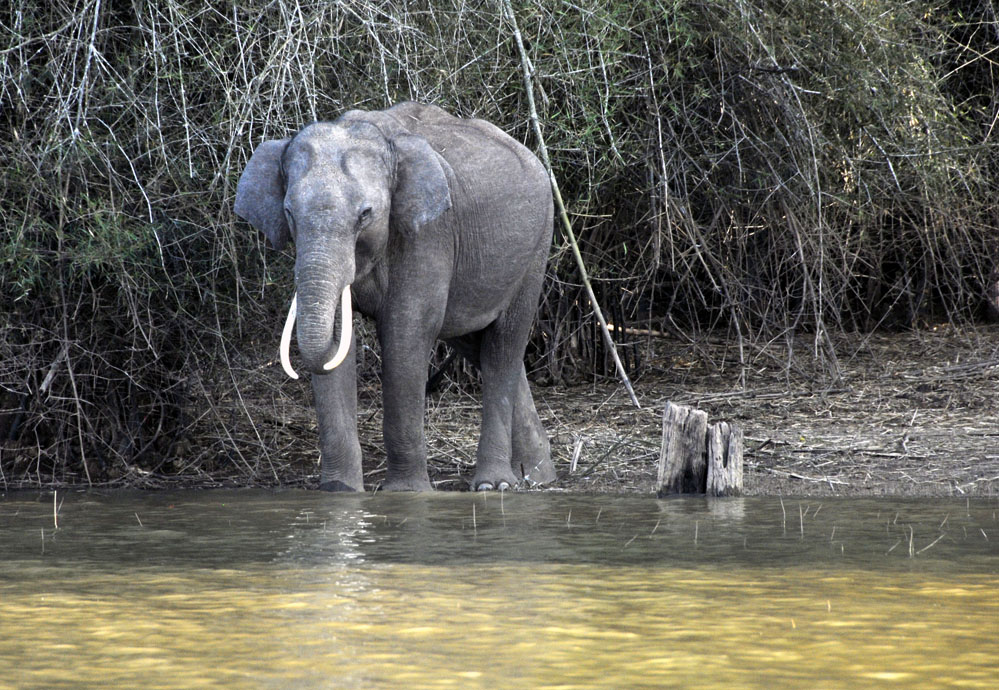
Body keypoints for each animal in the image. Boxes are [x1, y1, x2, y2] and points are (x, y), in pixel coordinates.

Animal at [237, 101, 560, 490]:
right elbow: (337, 342)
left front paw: (406, 493)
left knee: (504, 346)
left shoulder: (428, 233)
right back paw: (537, 476)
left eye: (365, 214)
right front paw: (339, 492)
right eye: (288, 213)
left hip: (536, 248)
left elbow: (406, 332)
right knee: (477, 345)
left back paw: (495, 484)